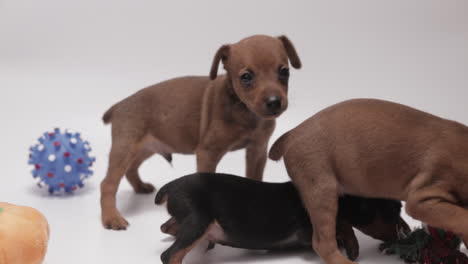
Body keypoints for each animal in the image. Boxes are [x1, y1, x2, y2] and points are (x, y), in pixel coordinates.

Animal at [100, 34, 302, 229]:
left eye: (284, 72)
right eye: (246, 77)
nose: (274, 102)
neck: (243, 110)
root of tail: (119, 105)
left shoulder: (257, 150)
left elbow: (255, 179)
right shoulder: (208, 153)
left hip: (146, 148)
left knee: (131, 169)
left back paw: (140, 187)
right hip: (125, 149)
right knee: (108, 183)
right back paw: (111, 218)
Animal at [154, 172, 410, 262]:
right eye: (395, 210)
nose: (408, 234)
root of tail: (169, 187)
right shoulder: (311, 226)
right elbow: (342, 223)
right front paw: (352, 248)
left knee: (166, 227)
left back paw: (206, 242)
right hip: (198, 219)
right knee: (170, 254)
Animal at [270, 98, 468, 264]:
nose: (405, 234)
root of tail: (292, 133)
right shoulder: (423, 199)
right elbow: (462, 217)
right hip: (321, 190)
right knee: (323, 242)